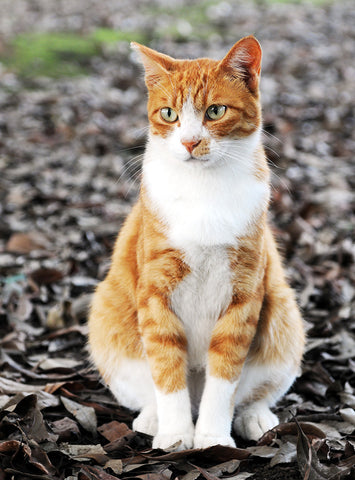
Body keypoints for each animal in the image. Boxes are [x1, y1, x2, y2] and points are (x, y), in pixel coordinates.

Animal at [88, 36, 306, 450]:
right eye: (169, 114)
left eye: (215, 111)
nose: (190, 141)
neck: (204, 189)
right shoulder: (155, 294)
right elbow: (166, 368)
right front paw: (176, 435)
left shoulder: (244, 295)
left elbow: (224, 378)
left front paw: (213, 439)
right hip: (108, 320)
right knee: (148, 388)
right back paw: (154, 419)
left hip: (283, 318)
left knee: (254, 392)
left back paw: (254, 417)